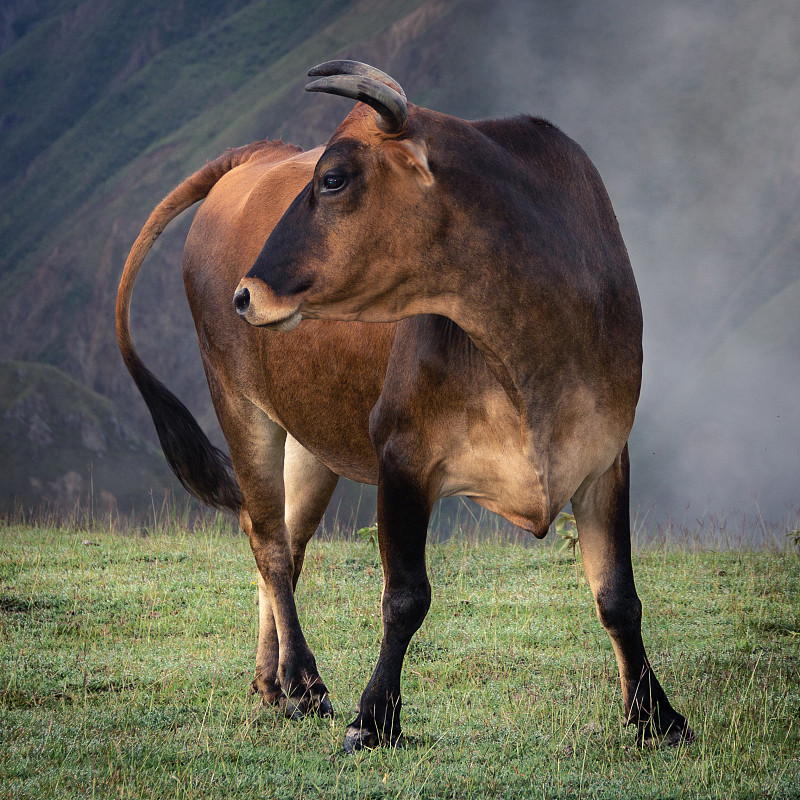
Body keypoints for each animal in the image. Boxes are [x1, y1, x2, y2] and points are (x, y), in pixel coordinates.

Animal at [115, 61, 692, 752]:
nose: (247, 293)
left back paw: (273, 684)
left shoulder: (605, 454)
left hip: (311, 436)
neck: (530, 355)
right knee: (271, 544)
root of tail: (258, 155)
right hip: (238, 400)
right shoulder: (402, 453)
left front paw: (656, 715)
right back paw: (304, 681)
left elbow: (618, 596)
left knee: (282, 535)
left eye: (333, 179)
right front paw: (374, 718)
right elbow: (405, 597)